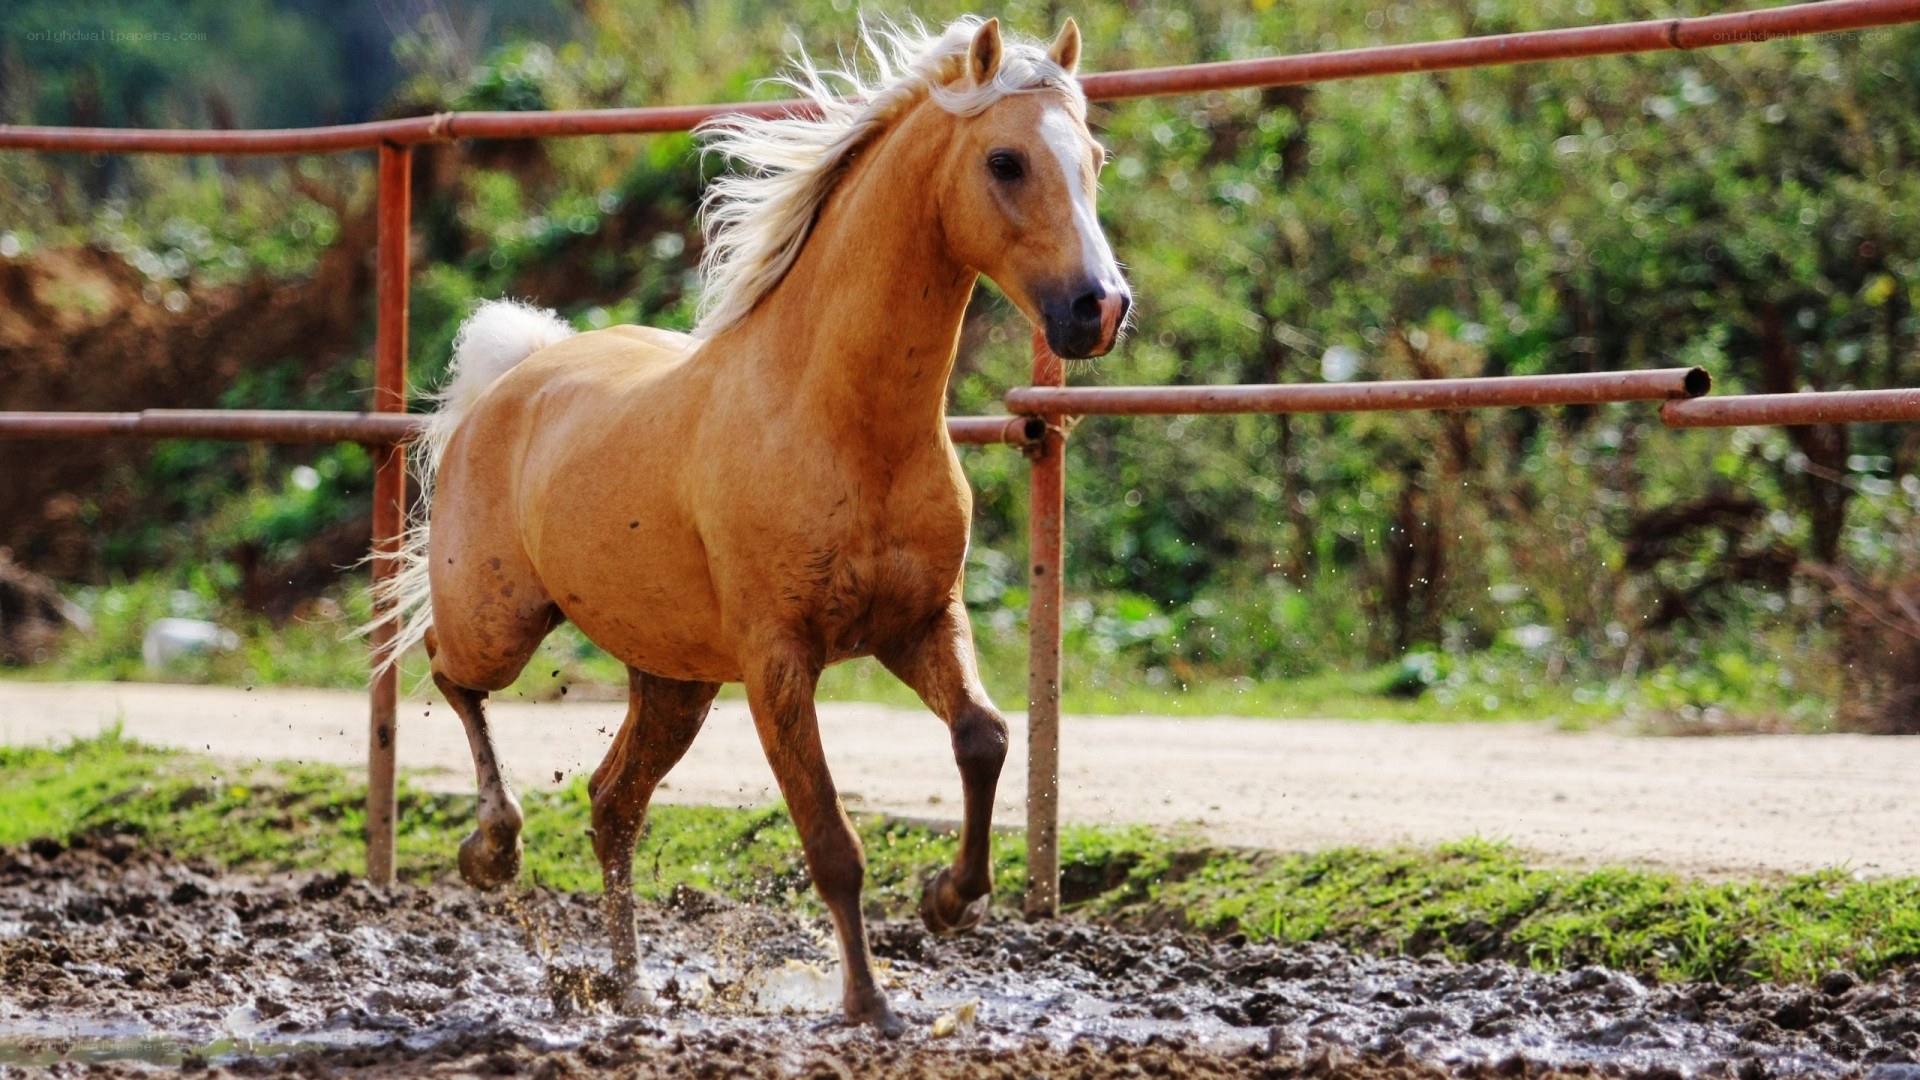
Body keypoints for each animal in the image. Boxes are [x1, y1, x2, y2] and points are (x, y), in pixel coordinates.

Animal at [372, 15, 1131, 1034]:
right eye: (1005, 161)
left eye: (1092, 157)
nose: (1100, 308)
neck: (843, 421)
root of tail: (515, 375)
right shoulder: (779, 660)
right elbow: (832, 840)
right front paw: (869, 1005)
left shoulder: (921, 621)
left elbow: (986, 736)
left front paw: (948, 899)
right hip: (501, 622)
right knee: (452, 674)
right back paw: (494, 850)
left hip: (675, 679)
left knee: (613, 804)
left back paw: (630, 990)